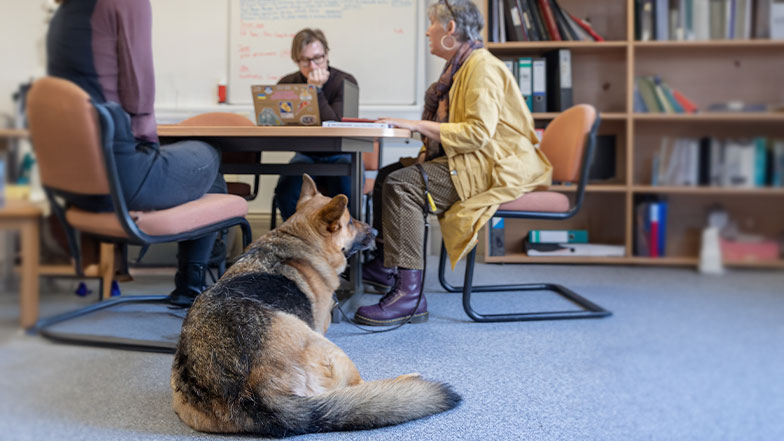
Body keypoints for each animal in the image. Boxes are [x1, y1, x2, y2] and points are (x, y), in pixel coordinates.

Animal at [168, 174, 456, 434]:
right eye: (350, 222)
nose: (375, 232)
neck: (300, 239)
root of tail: (256, 393)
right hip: (330, 350)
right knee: (361, 389)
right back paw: (407, 381)